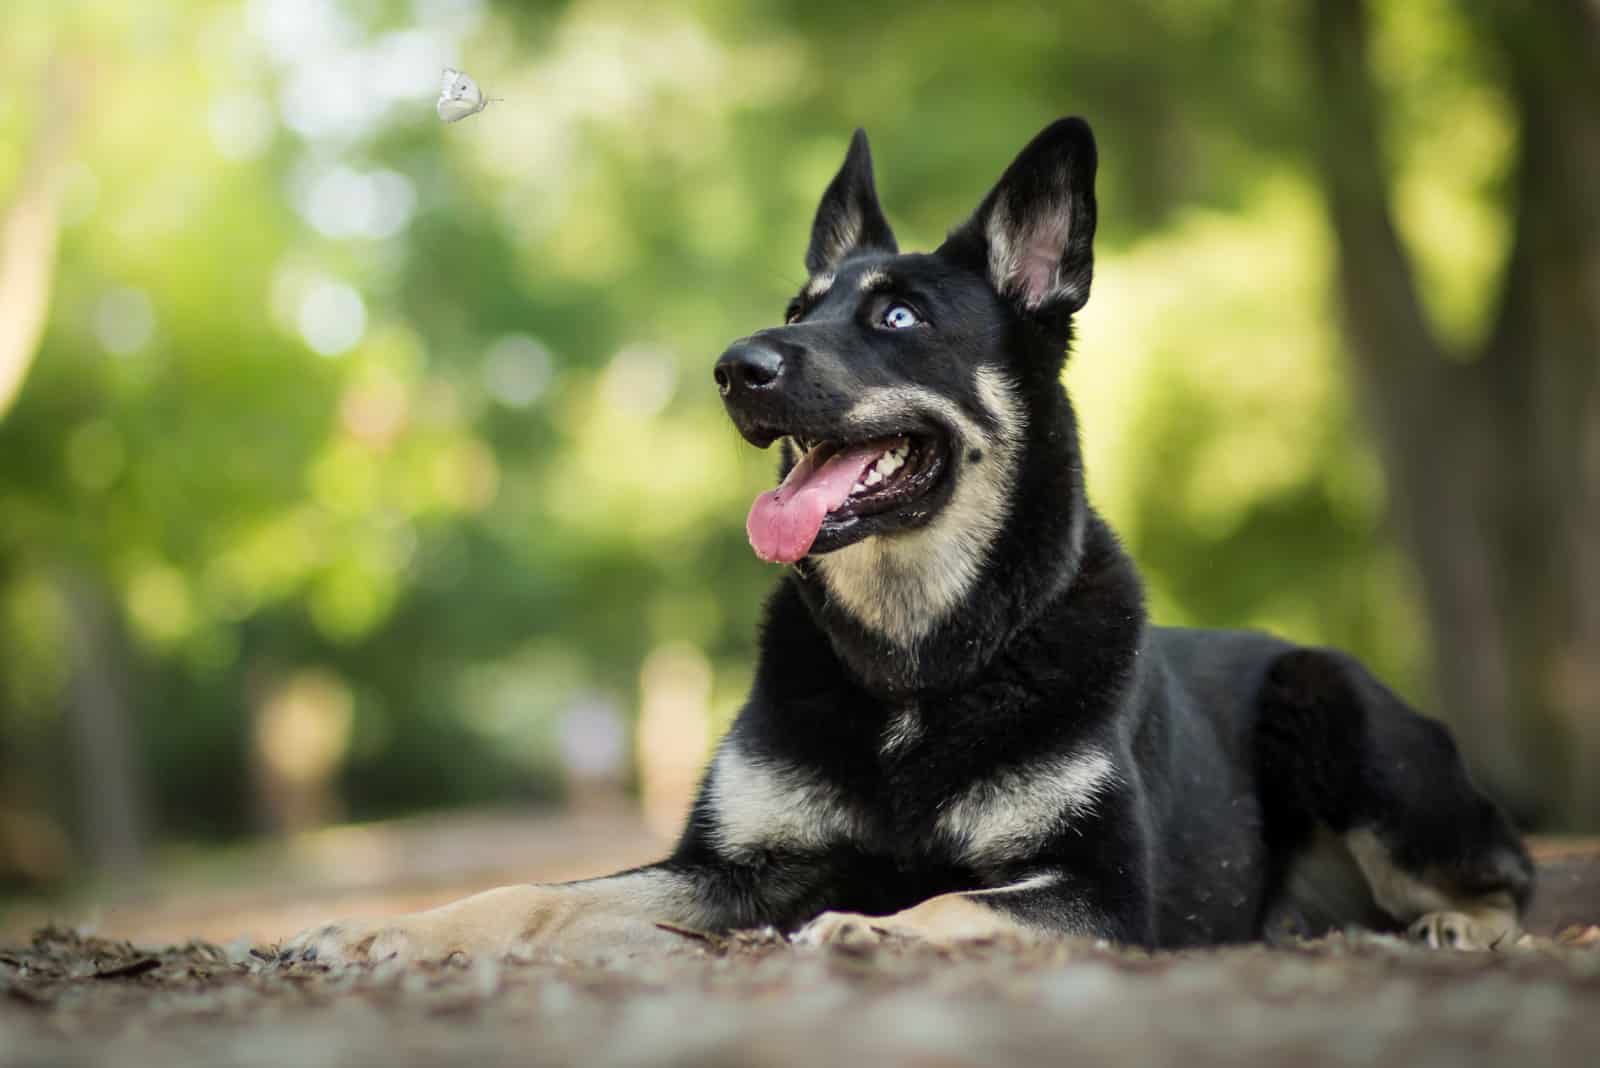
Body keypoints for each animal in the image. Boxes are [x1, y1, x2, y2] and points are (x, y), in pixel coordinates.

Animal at [281, 119, 1529, 965]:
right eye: (799, 304)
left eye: (895, 316)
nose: (734, 366)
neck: (913, 664)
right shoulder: (725, 869)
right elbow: (555, 891)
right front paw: (405, 927)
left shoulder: (1097, 892)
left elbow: (952, 898)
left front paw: (874, 928)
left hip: (1335, 706)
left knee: (1503, 879)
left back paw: (1465, 931)